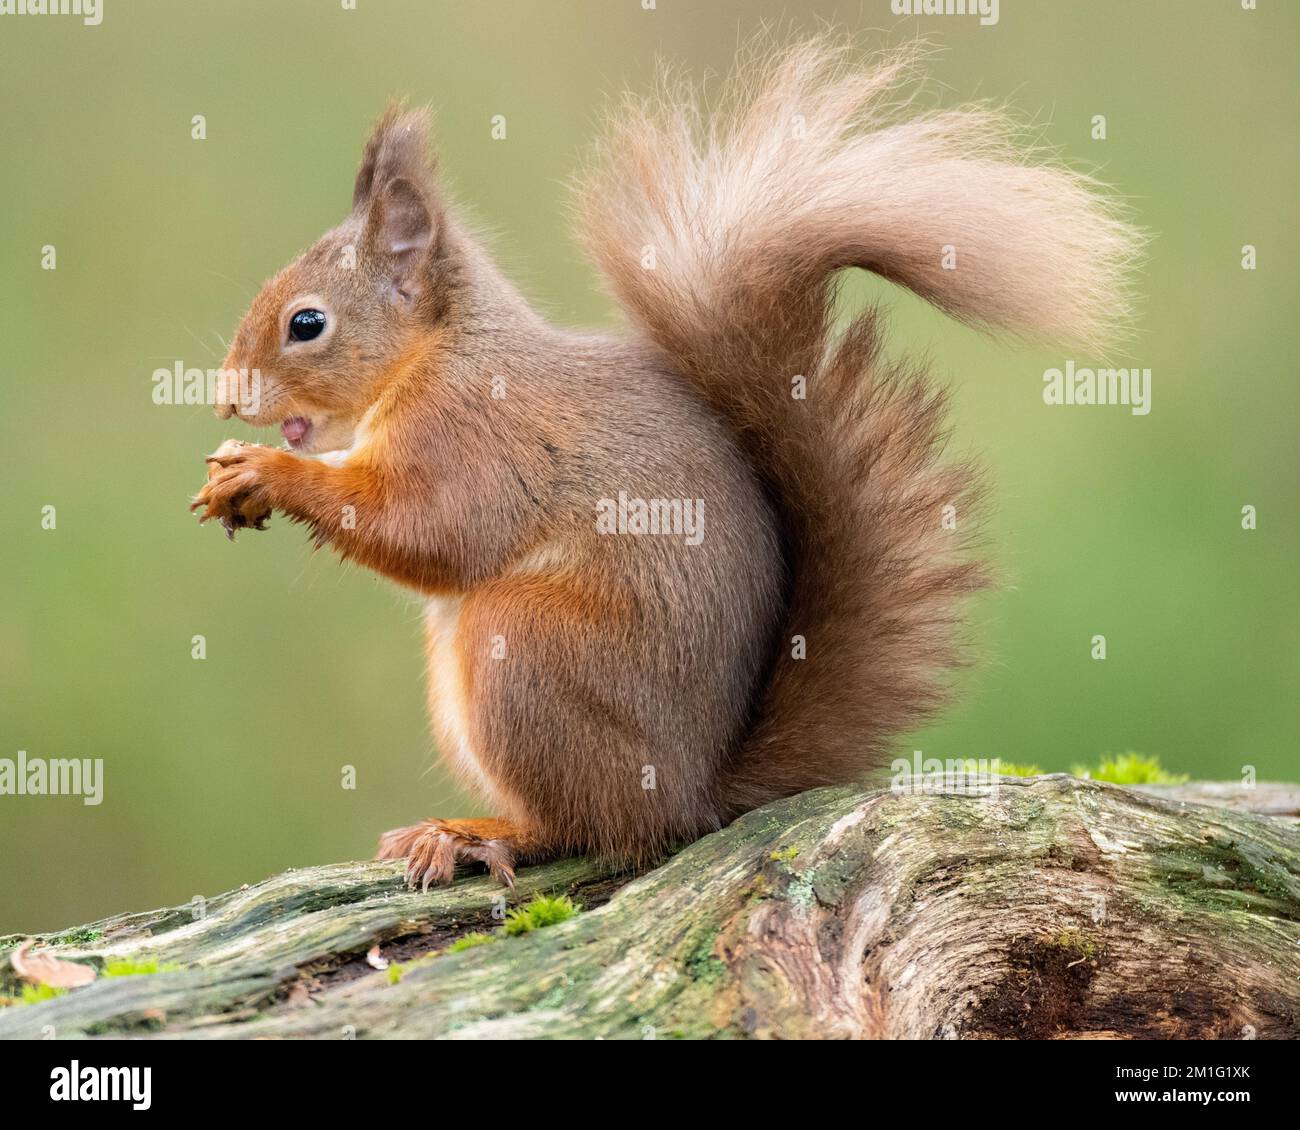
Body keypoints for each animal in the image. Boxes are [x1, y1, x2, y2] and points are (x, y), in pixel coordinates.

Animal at [192, 38, 1141, 889]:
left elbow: (433, 531)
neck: (437, 355)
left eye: (306, 323)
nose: (226, 395)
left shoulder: (475, 436)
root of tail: (696, 791)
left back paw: (475, 835)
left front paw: (263, 474)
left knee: (587, 827)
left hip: (524, 651)